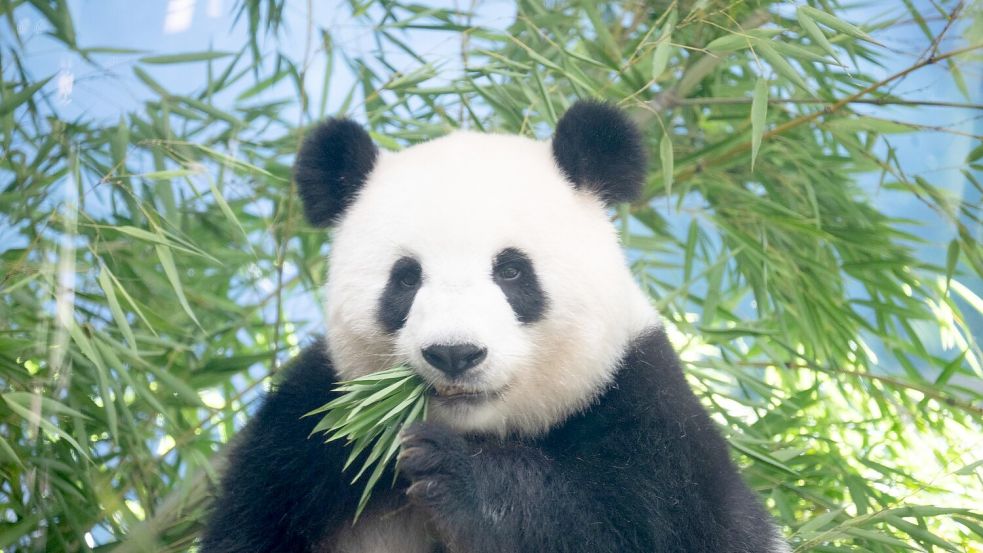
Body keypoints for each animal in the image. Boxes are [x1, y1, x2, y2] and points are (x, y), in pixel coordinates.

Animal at [200, 100, 792, 552]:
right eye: (406, 279)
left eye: (511, 271)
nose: (454, 353)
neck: (484, 429)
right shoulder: (308, 438)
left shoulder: (649, 412)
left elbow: (636, 522)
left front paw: (457, 477)